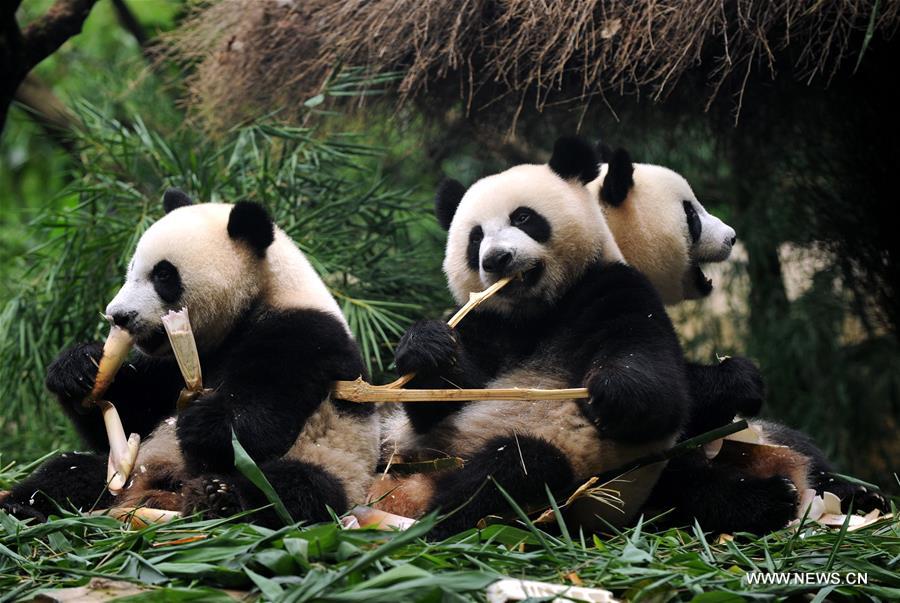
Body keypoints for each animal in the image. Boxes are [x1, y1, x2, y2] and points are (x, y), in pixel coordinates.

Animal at [0, 192, 379, 526]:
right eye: (132, 269)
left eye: (163, 275)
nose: (118, 316)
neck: (264, 293)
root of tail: (158, 488)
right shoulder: (172, 363)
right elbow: (132, 413)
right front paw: (77, 368)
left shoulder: (306, 334)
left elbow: (265, 414)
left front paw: (203, 423)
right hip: (125, 471)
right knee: (68, 471)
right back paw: (22, 508)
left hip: (336, 464)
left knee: (293, 489)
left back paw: (218, 498)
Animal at [378, 136, 691, 536]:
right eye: (475, 237)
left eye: (523, 218)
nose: (496, 259)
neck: (538, 311)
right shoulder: (487, 321)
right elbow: (444, 399)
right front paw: (426, 345)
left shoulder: (614, 288)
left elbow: (663, 394)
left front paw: (610, 392)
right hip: (398, 445)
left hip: (570, 469)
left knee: (511, 469)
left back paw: (436, 521)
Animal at [589, 145, 887, 533]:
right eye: (690, 213)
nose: (732, 236)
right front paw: (740, 379)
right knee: (678, 483)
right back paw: (769, 499)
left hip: (764, 434)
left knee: (799, 446)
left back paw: (855, 494)